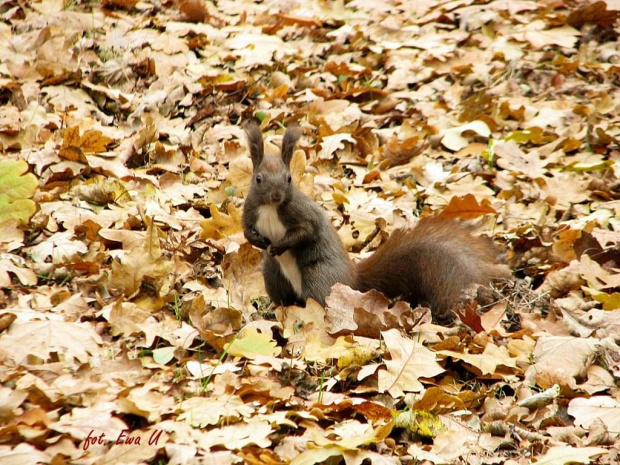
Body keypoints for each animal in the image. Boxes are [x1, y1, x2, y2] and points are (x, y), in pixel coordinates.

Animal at [240, 121, 512, 320]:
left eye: (288, 178)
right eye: (258, 179)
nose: (276, 195)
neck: (270, 208)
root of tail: (353, 283)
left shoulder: (304, 214)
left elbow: (306, 231)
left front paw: (279, 244)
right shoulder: (250, 210)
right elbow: (245, 230)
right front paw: (258, 241)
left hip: (320, 276)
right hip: (273, 277)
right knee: (284, 298)